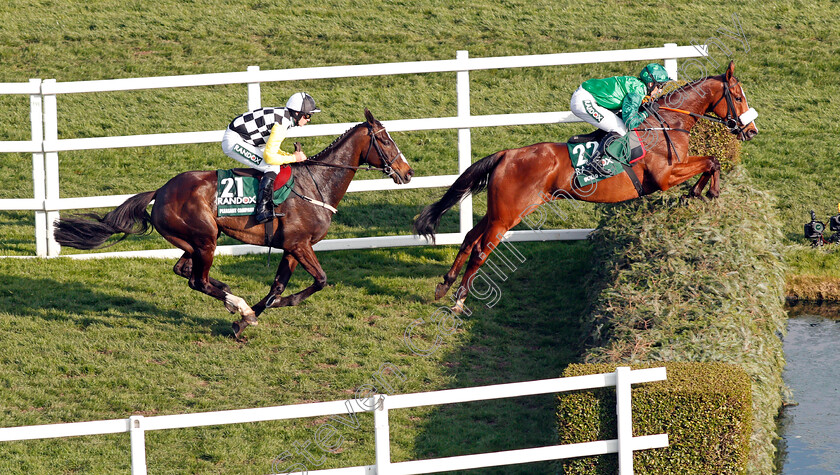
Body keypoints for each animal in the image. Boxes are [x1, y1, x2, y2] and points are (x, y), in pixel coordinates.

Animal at [52, 109, 414, 338]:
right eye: (385, 140)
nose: (407, 172)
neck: (317, 184)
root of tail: (161, 190)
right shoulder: (300, 244)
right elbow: (320, 280)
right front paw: (253, 314)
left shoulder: (292, 247)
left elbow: (278, 286)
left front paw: (252, 314)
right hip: (205, 239)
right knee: (196, 280)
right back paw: (235, 302)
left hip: (191, 241)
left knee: (185, 271)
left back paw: (229, 295)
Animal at [414, 63, 756, 316]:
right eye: (738, 97)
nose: (751, 130)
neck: (667, 123)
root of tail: (507, 154)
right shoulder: (664, 176)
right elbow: (711, 161)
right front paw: (708, 192)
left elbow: (710, 161)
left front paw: (697, 192)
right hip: (507, 216)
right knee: (481, 250)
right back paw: (459, 301)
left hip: (499, 210)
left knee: (470, 238)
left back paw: (445, 284)